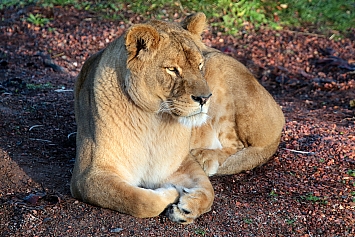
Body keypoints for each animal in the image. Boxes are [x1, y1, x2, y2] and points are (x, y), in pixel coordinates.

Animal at [71, 12, 286, 224]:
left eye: (200, 65)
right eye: (172, 69)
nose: (205, 98)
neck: (153, 122)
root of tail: (278, 110)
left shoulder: (180, 161)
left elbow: (208, 192)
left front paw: (187, 206)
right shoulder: (87, 177)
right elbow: (138, 201)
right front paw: (171, 194)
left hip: (220, 66)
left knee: (239, 146)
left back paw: (205, 156)